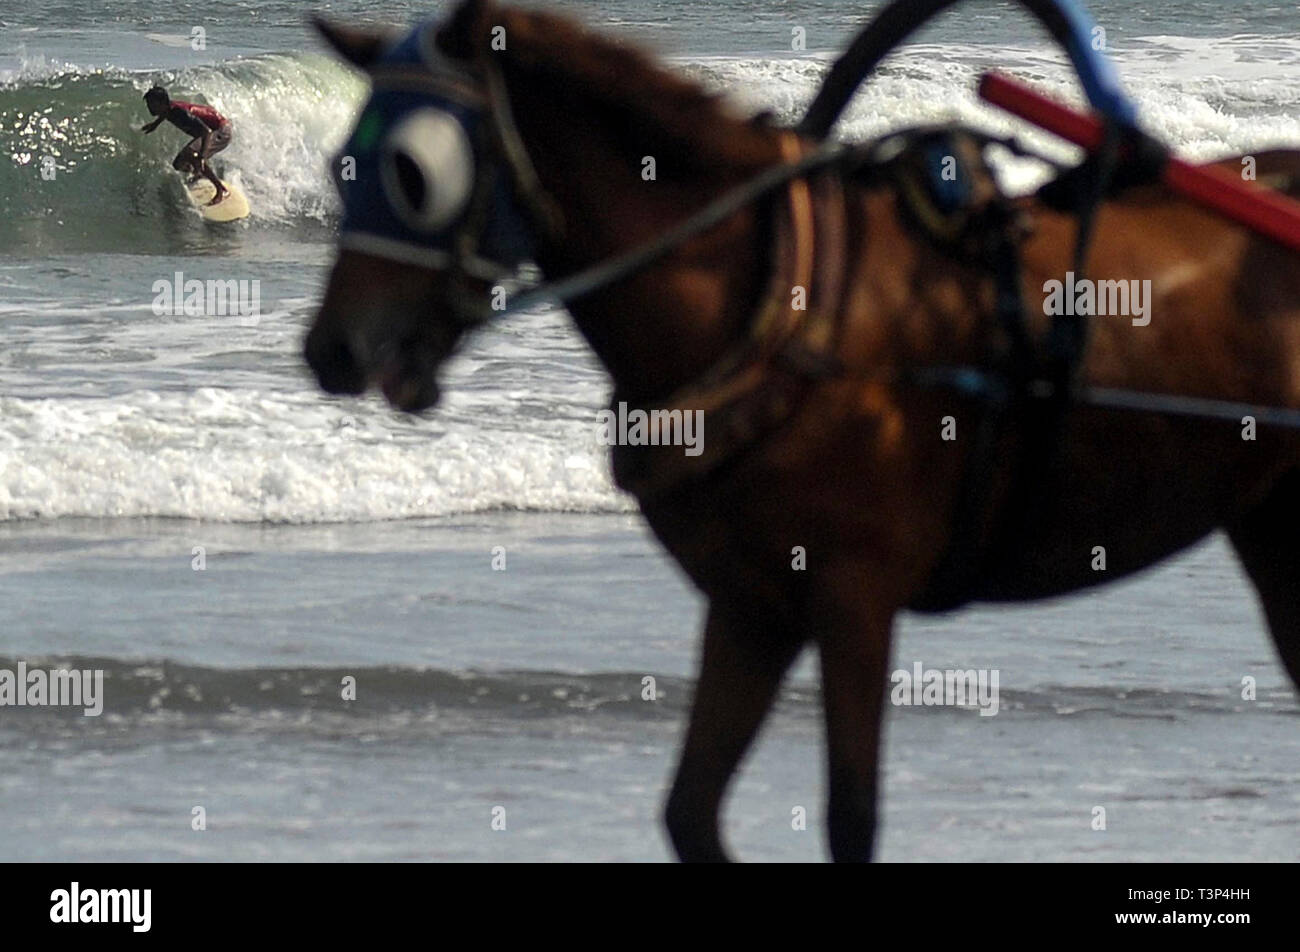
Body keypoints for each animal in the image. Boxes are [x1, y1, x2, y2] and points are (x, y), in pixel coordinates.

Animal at [301, 1, 1300, 863]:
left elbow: (850, 818)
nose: (330, 350)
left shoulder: (854, 601)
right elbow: (690, 813)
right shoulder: (749, 608)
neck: (775, 303)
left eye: (413, 173)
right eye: (339, 165)